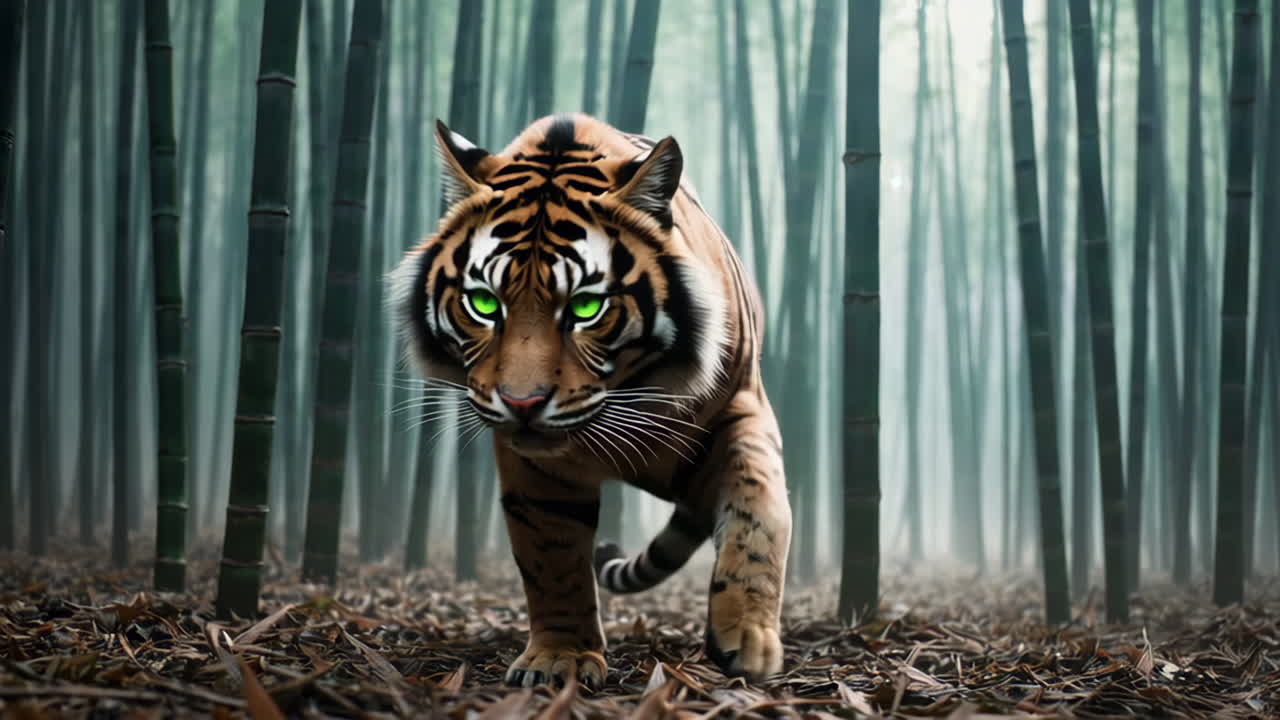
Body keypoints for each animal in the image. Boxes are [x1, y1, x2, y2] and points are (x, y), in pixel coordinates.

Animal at [388, 113, 791, 689]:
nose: (522, 402)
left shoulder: (743, 407)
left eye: (585, 307)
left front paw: (749, 638)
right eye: (484, 303)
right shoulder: (537, 467)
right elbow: (552, 556)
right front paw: (560, 658)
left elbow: (759, 509)